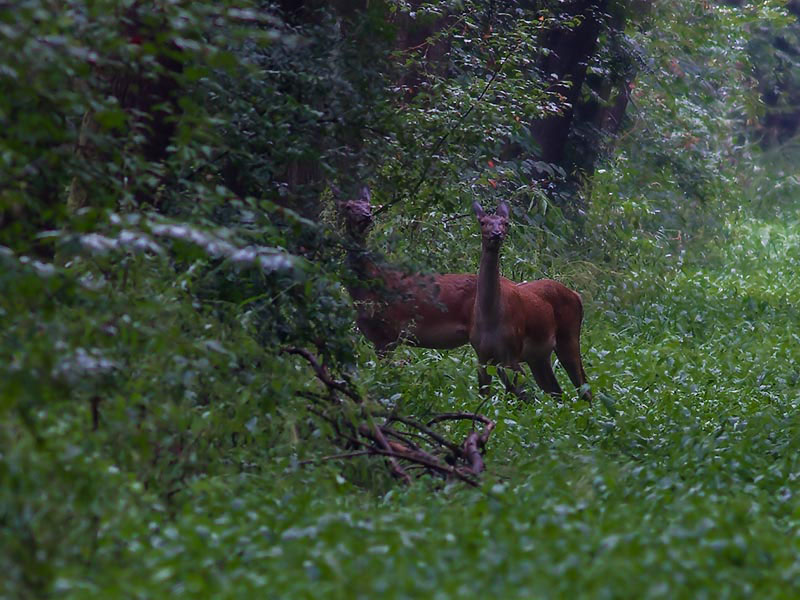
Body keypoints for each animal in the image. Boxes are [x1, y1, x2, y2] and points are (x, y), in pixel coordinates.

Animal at [466, 202, 592, 404]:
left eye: (506, 223)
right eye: (483, 222)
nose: (497, 234)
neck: (489, 316)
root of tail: (576, 295)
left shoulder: (511, 353)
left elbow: (519, 397)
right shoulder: (482, 357)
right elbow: (484, 395)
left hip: (569, 337)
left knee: (584, 388)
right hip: (539, 356)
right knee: (557, 391)